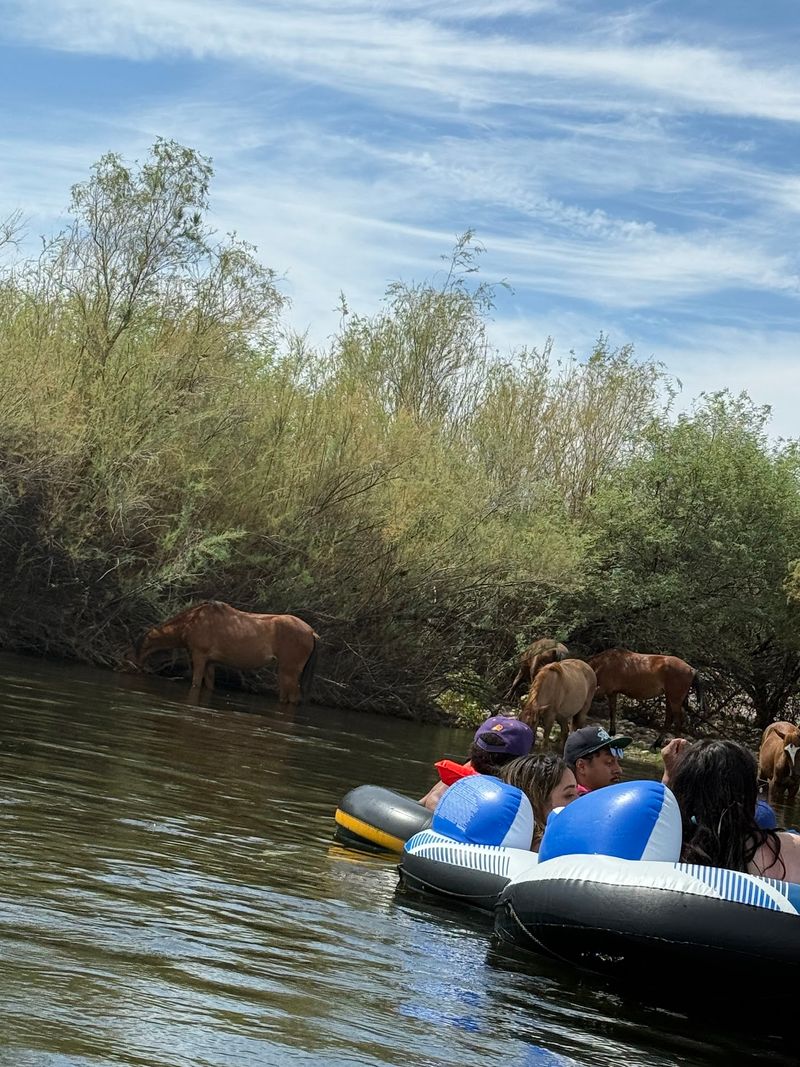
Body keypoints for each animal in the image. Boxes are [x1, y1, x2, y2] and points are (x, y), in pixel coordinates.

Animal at [130, 600, 319, 705]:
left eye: (137, 649)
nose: (135, 668)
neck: (192, 622)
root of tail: (311, 632)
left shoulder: (199, 656)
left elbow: (195, 684)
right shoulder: (210, 662)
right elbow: (209, 686)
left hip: (289, 670)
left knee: (293, 698)